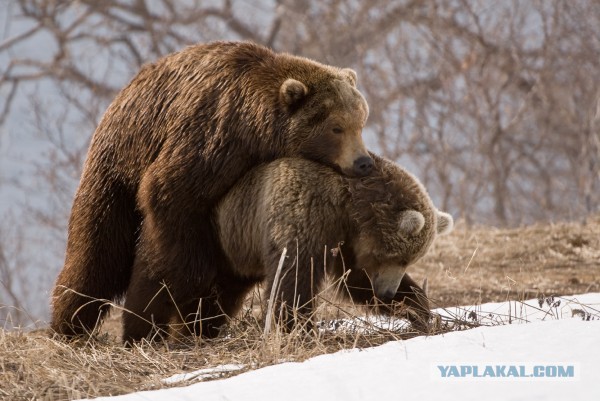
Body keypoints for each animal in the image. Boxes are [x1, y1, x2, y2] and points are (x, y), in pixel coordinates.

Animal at [51, 39, 372, 340]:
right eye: (336, 127)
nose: (363, 162)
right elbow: (171, 202)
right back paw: (71, 324)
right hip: (118, 167)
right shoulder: (212, 140)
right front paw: (178, 297)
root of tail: (123, 93)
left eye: (360, 122)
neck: (258, 131)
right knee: (99, 252)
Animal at [213, 153, 452, 332]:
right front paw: (294, 326)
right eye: (400, 258)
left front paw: (417, 308)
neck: (349, 206)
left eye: (410, 261)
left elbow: (355, 278)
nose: (388, 293)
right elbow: (296, 271)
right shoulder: (307, 208)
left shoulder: (347, 242)